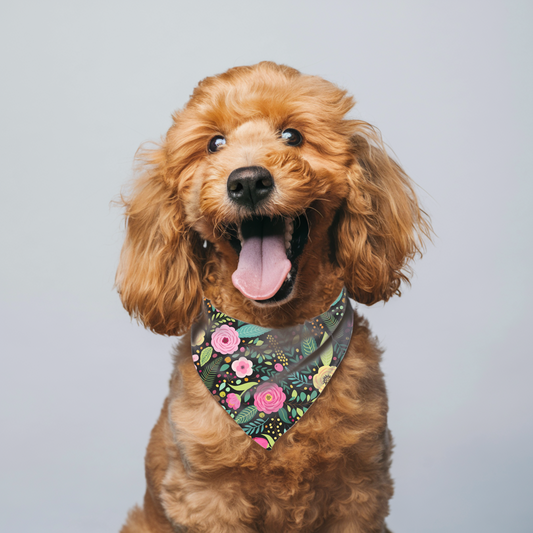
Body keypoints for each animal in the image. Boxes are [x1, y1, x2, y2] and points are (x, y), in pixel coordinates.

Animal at [115, 62, 428, 532]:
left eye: (293, 135)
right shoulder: (207, 497)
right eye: (214, 143)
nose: (247, 181)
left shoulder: (360, 490)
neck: (274, 340)